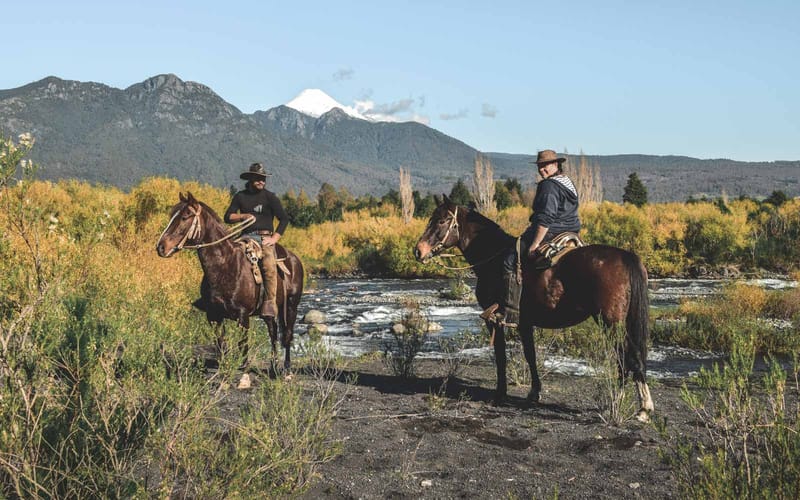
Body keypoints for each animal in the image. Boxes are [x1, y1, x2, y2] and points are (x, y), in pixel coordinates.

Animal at [155, 191, 304, 376]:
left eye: (185, 216)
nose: (161, 247)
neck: (226, 266)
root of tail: (294, 259)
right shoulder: (213, 315)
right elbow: (221, 344)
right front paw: (224, 368)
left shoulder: (243, 315)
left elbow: (242, 344)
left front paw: (243, 369)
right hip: (269, 310)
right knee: (273, 332)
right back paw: (273, 365)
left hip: (291, 305)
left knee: (288, 334)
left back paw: (287, 368)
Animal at [416, 195, 652, 422]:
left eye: (442, 220)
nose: (418, 251)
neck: (492, 257)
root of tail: (625, 256)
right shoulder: (525, 323)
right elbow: (530, 355)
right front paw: (534, 393)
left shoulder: (494, 320)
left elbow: (501, 356)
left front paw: (500, 394)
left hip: (611, 322)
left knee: (626, 357)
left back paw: (632, 405)